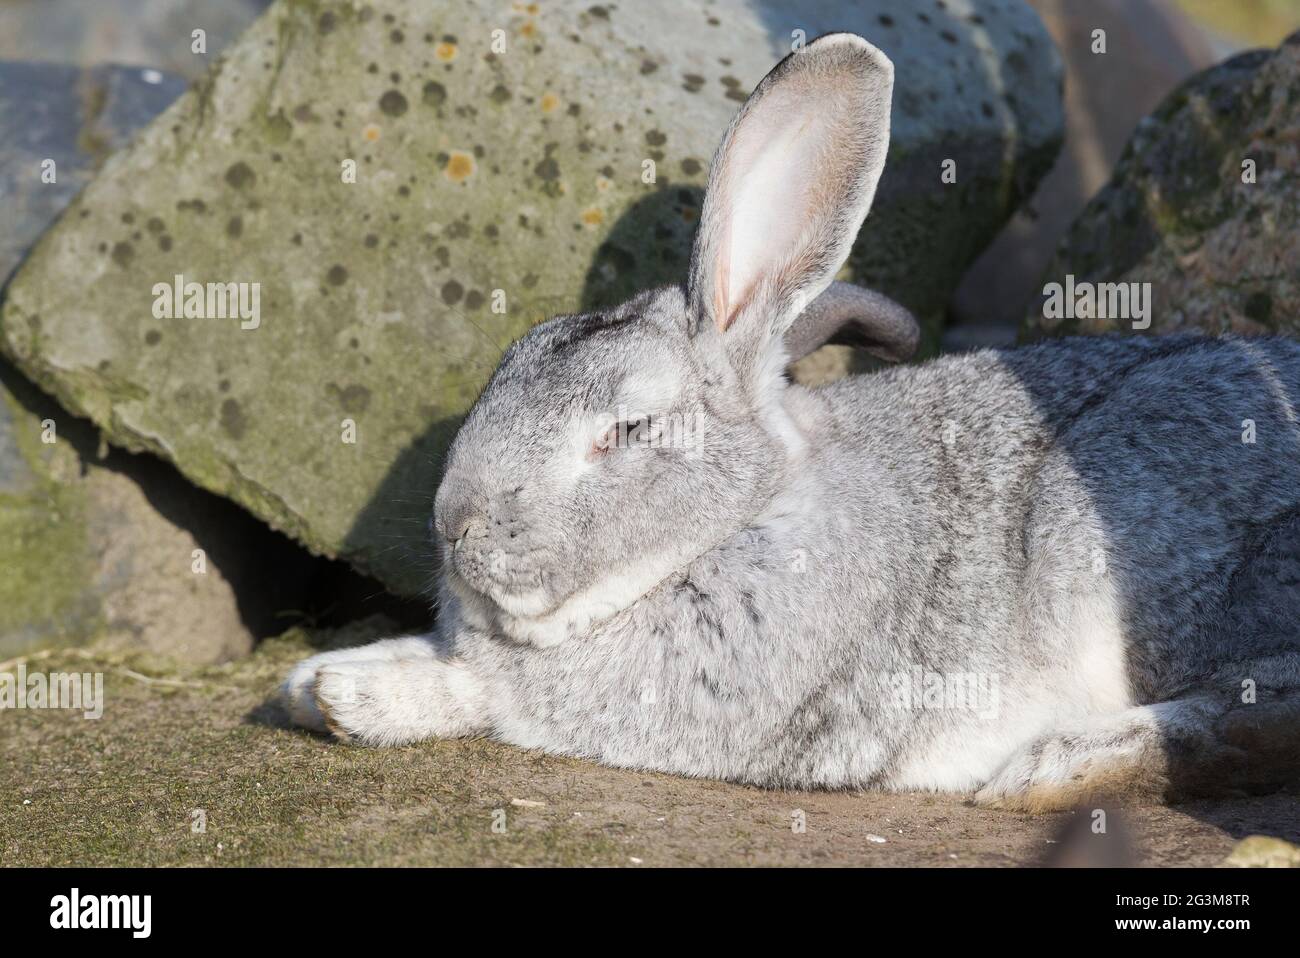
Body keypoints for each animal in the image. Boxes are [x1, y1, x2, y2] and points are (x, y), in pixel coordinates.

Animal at [282, 31, 1300, 805]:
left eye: (627, 432)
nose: (455, 522)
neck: (740, 514)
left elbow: (492, 692)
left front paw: (347, 693)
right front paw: (313, 683)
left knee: (1265, 712)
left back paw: (1052, 772)